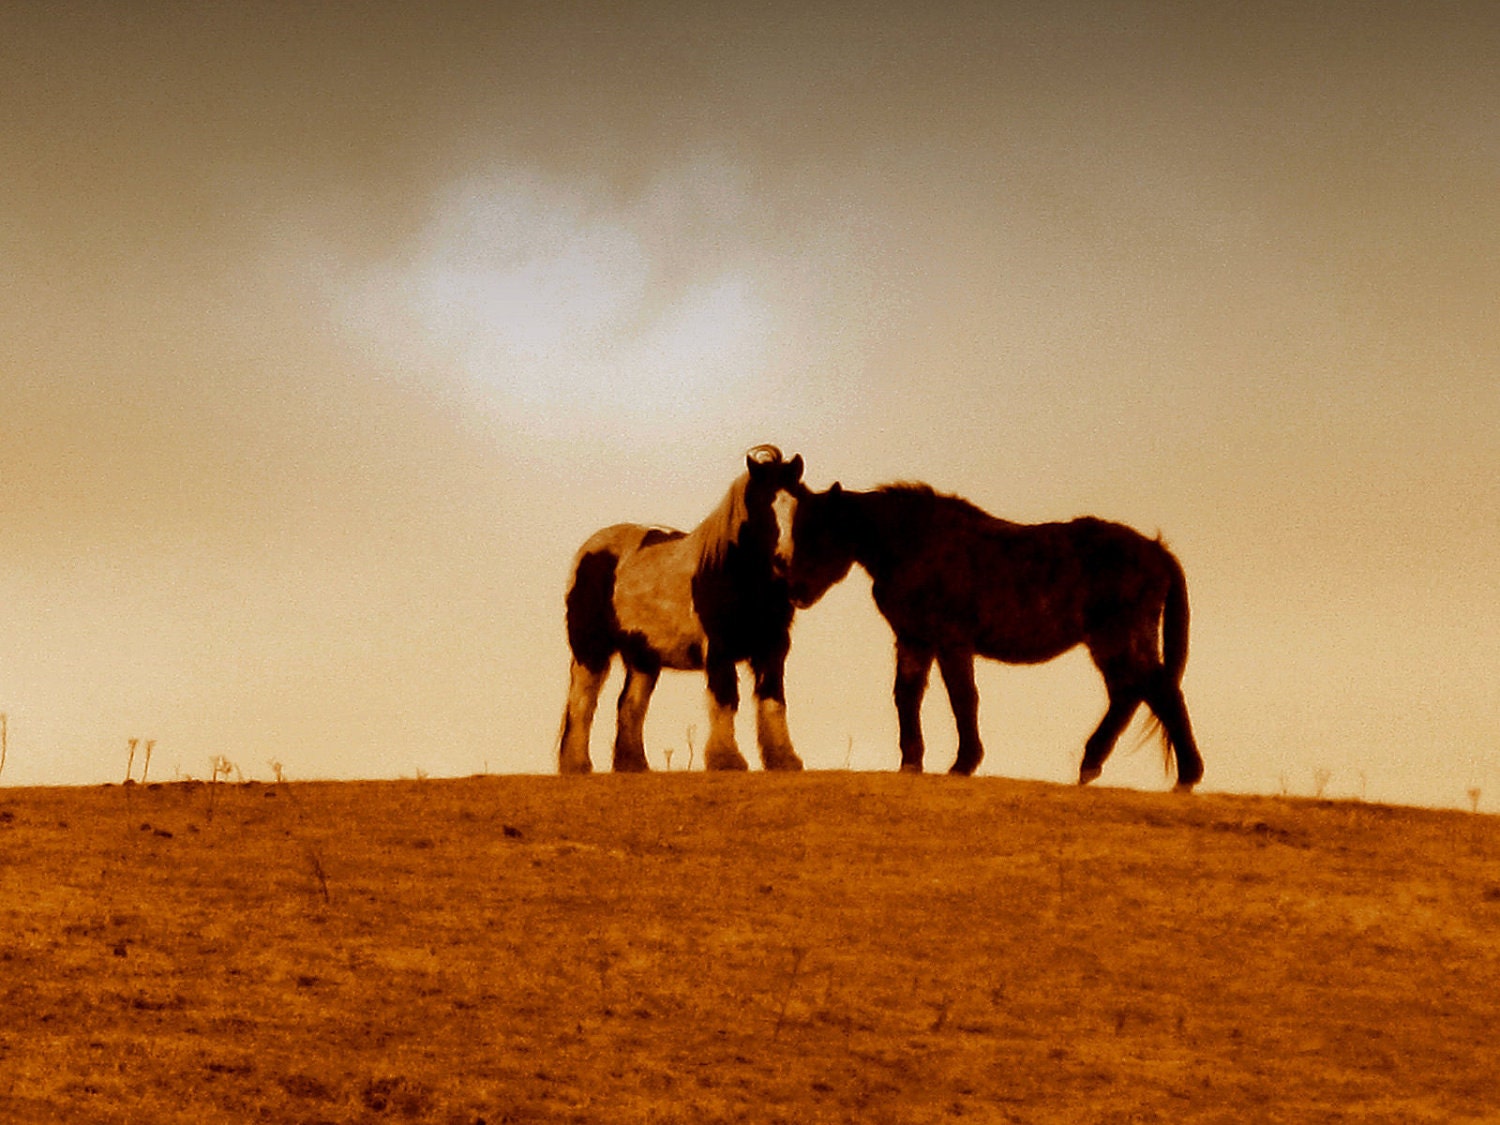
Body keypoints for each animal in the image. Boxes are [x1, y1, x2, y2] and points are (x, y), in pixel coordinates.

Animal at [558, 445, 808, 774]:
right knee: (582, 703)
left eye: (799, 504)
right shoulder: (719, 648)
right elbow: (725, 697)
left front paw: (783, 758)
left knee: (630, 705)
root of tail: (589, 550)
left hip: (643, 658)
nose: (785, 562)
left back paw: (633, 763)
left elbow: (773, 700)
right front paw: (726, 759)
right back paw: (576, 764)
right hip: (591, 650)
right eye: (761, 505)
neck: (731, 570)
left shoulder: (773, 647)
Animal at [783, 481, 1203, 790]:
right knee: (1130, 693)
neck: (916, 543)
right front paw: (911, 761)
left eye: (818, 533)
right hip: (1112, 642)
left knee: (1159, 690)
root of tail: (1156, 550)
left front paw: (963, 763)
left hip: (1118, 638)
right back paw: (1091, 764)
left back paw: (1187, 777)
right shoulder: (914, 639)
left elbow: (963, 698)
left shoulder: (952, 640)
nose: (795, 589)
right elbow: (907, 695)